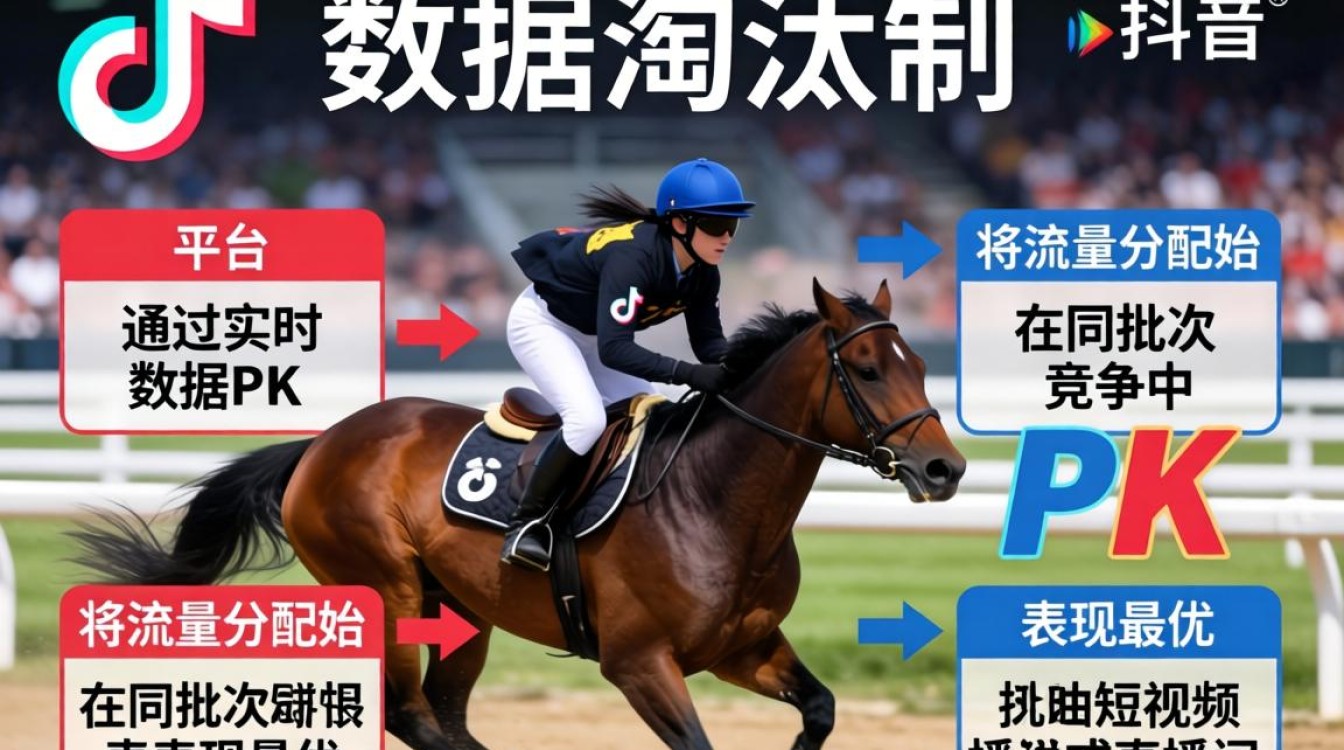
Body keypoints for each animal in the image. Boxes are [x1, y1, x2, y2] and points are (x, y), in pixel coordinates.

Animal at [74, 279, 966, 750]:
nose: (944, 468)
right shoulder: (639, 663)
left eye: (922, 363)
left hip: (463, 610)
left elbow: (819, 708)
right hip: (389, 592)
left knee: (445, 712)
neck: (714, 501)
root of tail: (323, 442)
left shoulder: (741, 648)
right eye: (864, 367)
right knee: (413, 714)